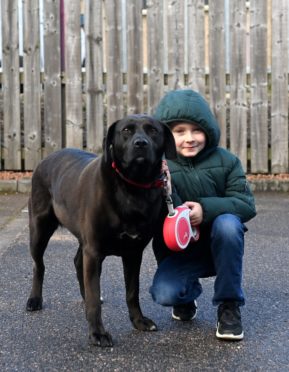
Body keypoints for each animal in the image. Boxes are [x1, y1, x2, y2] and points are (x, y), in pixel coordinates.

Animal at [26, 115, 176, 348]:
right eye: (126, 130)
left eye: (153, 130)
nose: (140, 144)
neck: (132, 187)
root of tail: (47, 157)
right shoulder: (95, 251)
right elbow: (95, 298)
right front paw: (97, 333)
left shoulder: (133, 253)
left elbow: (132, 291)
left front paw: (139, 321)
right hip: (39, 229)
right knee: (38, 265)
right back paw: (35, 299)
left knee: (77, 262)